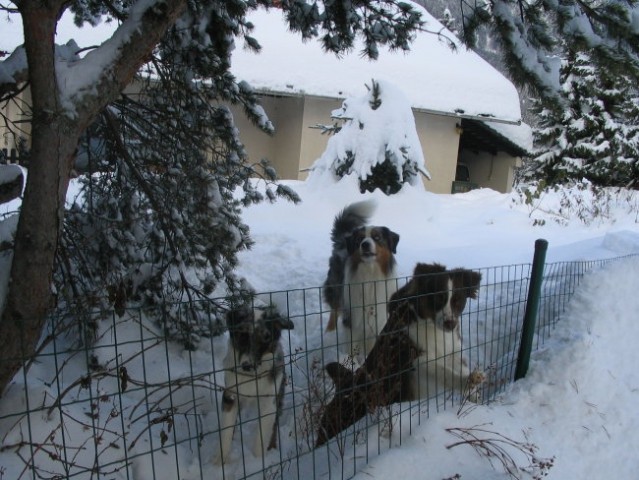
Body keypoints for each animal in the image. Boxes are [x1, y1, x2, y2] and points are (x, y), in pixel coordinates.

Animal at [215, 304, 296, 464]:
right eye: (242, 335)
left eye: (265, 338)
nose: (247, 366)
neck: (251, 377)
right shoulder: (230, 396)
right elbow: (226, 432)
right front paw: (218, 463)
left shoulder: (269, 403)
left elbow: (261, 439)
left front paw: (258, 463)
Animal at [324, 199, 400, 360]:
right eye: (360, 239)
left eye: (377, 238)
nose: (364, 244)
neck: (370, 274)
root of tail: (342, 239)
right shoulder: (352, 315)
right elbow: (351, 347)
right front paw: (351, 362)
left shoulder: (377, 318)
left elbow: (371, 346)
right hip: (336, 288)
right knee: (334, 309)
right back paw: (329, 333)